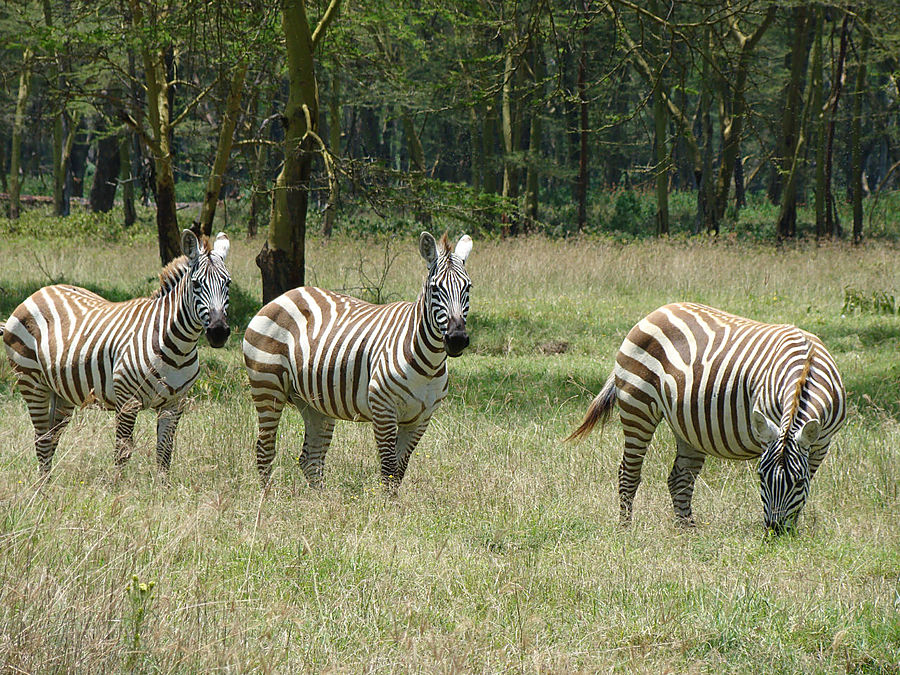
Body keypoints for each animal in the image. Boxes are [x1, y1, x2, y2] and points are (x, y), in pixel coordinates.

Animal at [2, 232, 232, 476]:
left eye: (228, 283)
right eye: (196, 284)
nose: (218, 332)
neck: (177, 346)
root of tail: (38, 293)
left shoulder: (174, 404)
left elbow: (164, 454)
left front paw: (163, 486)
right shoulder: (127, 401)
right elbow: (123, 453)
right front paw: (116, 486)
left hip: (61, 390)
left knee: (52, 437)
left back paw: (48, 483)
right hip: (31, 382)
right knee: (42, 440)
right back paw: (42, 486)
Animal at [243, 232, 474, 492]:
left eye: (468, 287)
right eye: (435, 289)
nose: (457, 339)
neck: (429, 364)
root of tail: (285, 295)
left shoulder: (421, 418)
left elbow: (399, 471)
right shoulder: (383, 409)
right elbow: (389, 470)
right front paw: (387, 504)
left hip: (313, 401)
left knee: (310, 459)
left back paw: (321, 500)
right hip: (267, 386)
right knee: (265, 449)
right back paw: (267, 497)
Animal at [568, 302, 844, 532]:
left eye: (798, 482)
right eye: (761, 479)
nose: (775, 532)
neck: (806, 366)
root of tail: (658, 310)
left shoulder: (821, 444)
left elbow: (808, 482)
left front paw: (794, 524)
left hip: (688, 426)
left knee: (679, 478)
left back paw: (688, 531)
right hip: (637, 406)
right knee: (629, 473)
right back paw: (626, 528)